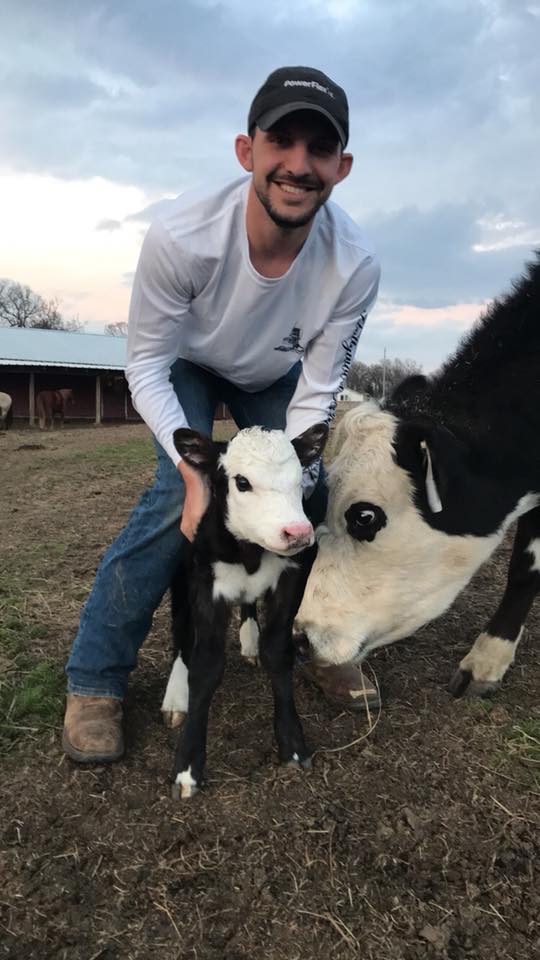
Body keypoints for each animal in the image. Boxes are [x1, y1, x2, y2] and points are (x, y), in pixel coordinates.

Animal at [160, 424, 326, 800]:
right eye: (242, 482)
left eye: (300, 478)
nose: (298, 532)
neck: (249, 554)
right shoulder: (205, 587)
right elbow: (205, 666)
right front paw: (188, 768)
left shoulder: (290, 578)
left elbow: (277, 652)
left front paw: (293, 745)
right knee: (180, 631)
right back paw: (175, 697)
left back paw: (249, 639)